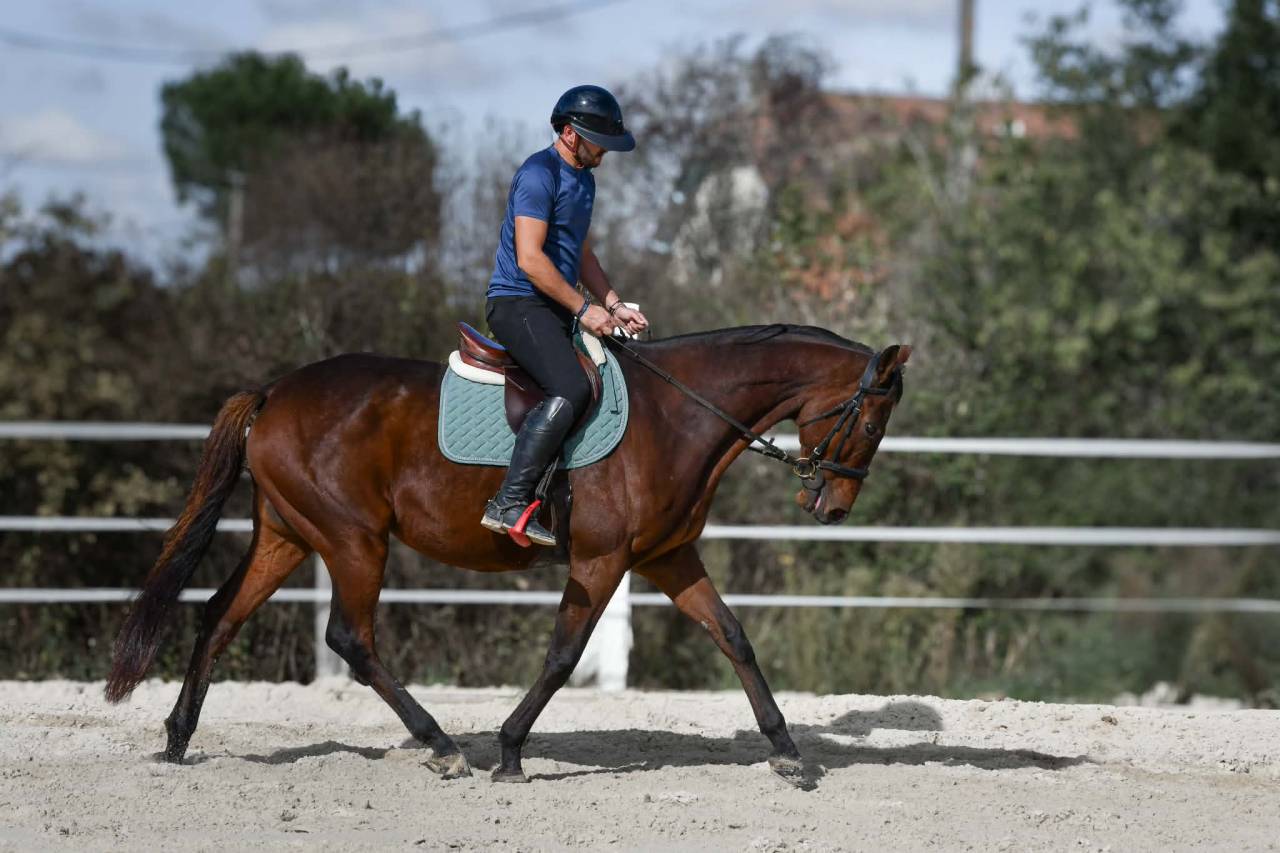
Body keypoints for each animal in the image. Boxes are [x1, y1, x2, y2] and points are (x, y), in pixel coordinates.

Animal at [104, 323, 910, 785]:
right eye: (872, 419)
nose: (833, 508)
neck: (678, 414)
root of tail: (274, 392)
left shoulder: (668, 558)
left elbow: (735, 638)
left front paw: (787, 751)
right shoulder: (600, 563)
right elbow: (562, 656)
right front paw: (512, 750)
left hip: (288, 534)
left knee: (219, 616)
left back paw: (177, 740)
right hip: (353, 540)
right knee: (350, 639)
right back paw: (442, 744)